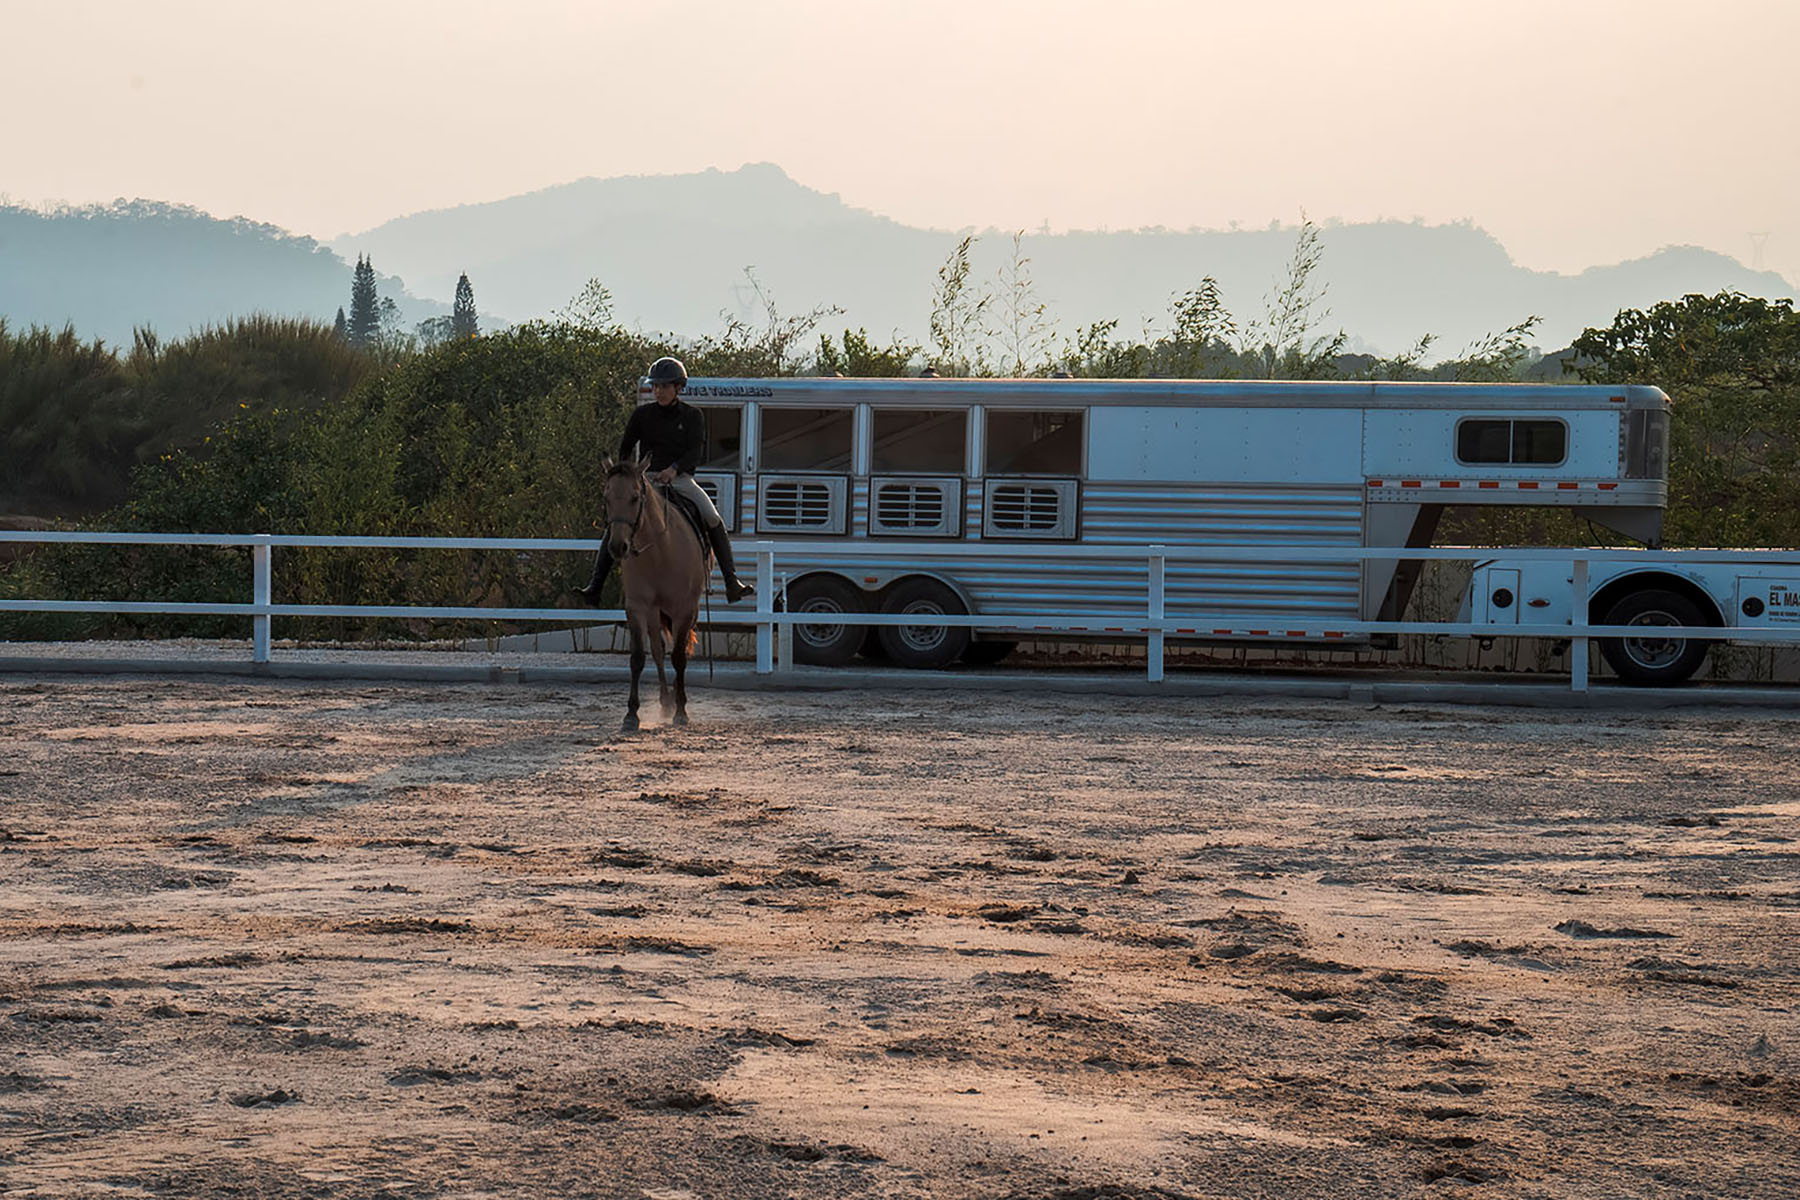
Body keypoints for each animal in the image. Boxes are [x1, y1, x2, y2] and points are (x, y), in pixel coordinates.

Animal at [601, 460, 705, 734]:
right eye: (606, 498)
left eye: (635, 498)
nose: (617, 547)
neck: (660, 552)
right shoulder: (637, 607)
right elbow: (638, 657)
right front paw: (631, 715)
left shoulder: (684, 609)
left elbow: (679, 657)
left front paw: (681, 712)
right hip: (653, 612)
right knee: (658, 650)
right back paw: (665, 701)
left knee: (676, 650)